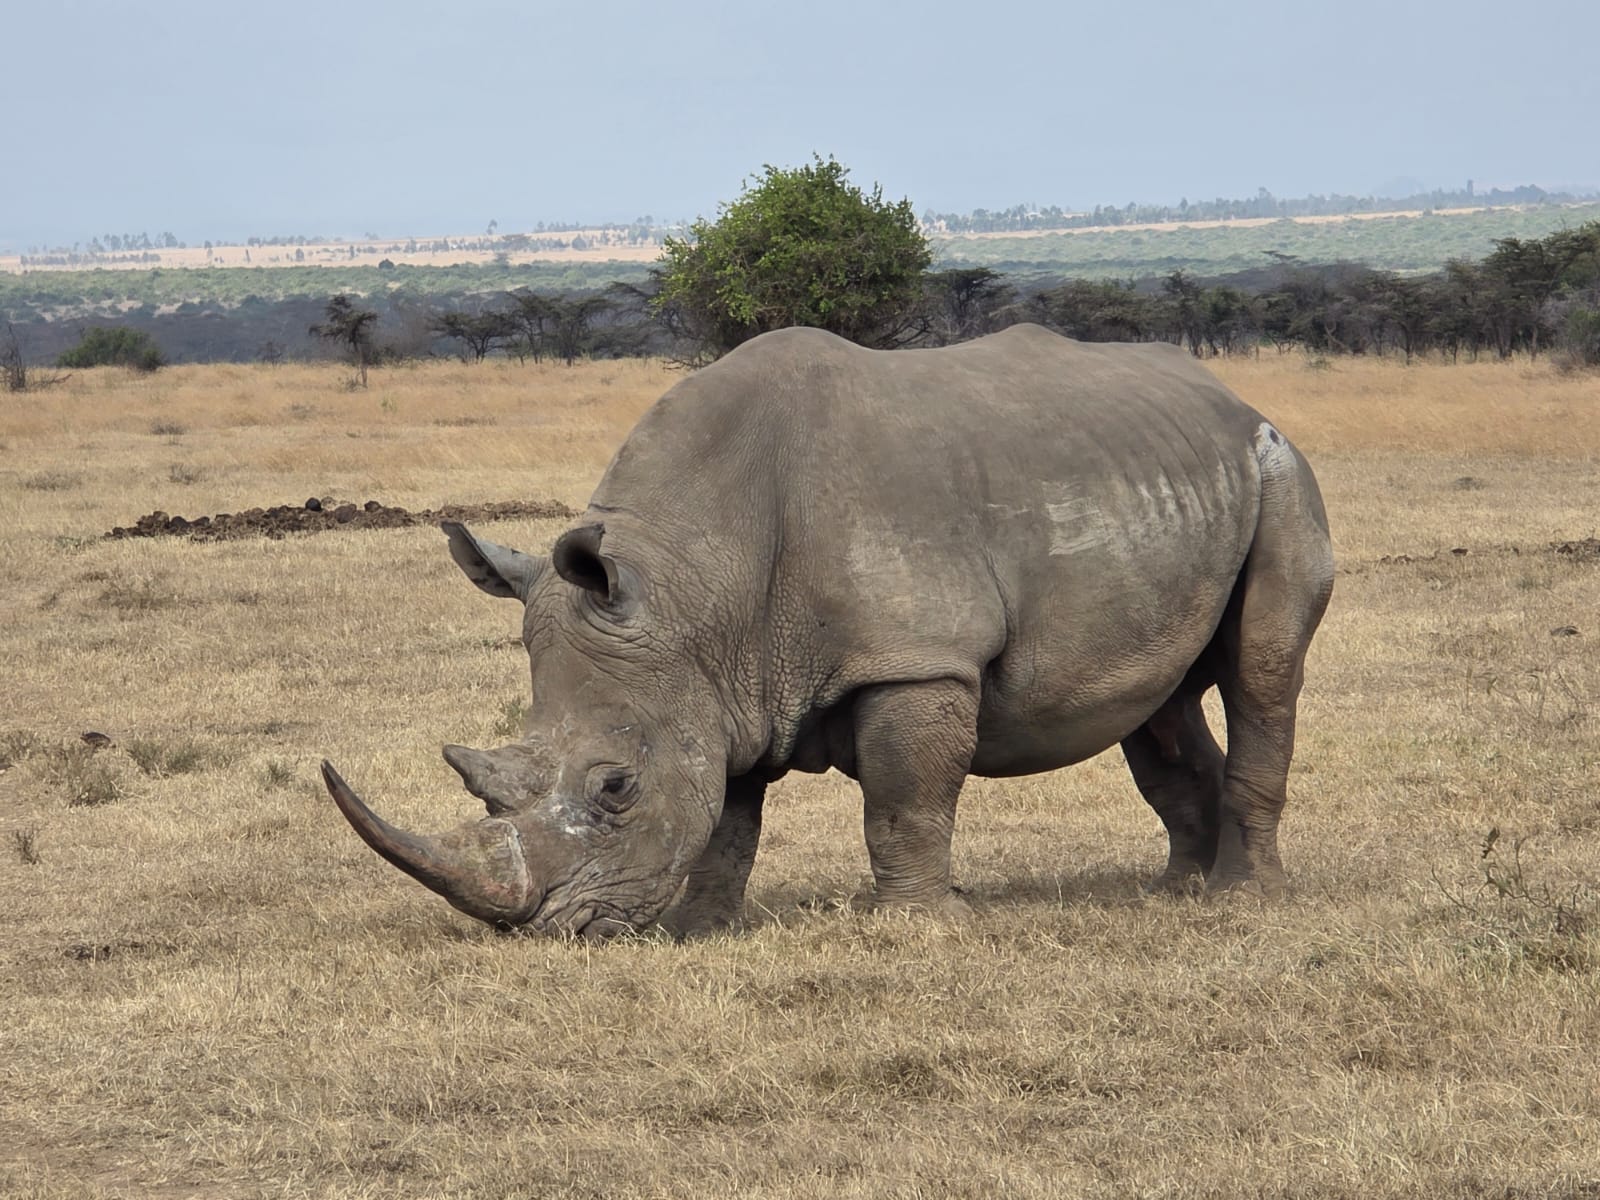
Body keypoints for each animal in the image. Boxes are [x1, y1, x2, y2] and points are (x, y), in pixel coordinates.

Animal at [322, 324, 1334, 938]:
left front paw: (919, 927)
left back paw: (1248, 898)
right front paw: (701, 929)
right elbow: (726, 815)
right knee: (1158, 703)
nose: (551, 932)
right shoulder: (715, 681)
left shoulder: (914, 660)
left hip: (1280, 466)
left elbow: (905, 801)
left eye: (615, 788)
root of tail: (1231, 396)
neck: (692, 586)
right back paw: (1177, 892)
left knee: (1262, 670)